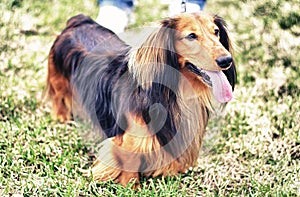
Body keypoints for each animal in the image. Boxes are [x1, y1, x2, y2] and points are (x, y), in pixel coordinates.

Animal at [45, 13, 237, 186]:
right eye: (191, 36)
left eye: (216, 32)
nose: (226, 60)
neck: (175, 93)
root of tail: (78, 20)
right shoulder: (130, 140)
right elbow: (130, 162)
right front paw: (131, 186)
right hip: (58, 81)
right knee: (58, 97)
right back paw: (62, 116)